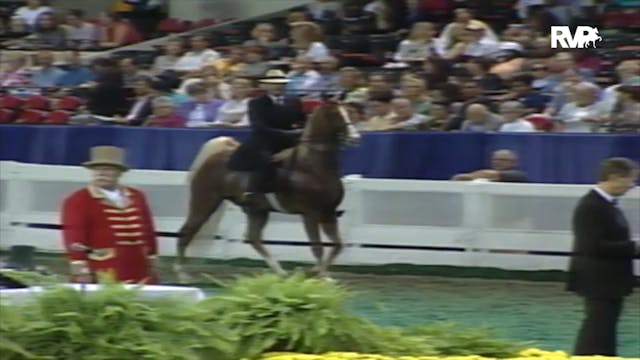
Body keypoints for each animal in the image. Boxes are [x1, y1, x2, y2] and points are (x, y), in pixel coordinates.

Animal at [174, 102, 360, 282]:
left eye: (350, 112)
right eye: (336, 115)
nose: (356, 138)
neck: (311, 167)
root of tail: (214, 157)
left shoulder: (328, 213)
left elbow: (338, 245)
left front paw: (320, 273)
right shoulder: (310, 214)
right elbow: (317, 247)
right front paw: (320, 275)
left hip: (258, 211)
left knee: (254, 238)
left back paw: (280, 272)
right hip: (204, 203)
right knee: (186, 232)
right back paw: (182, 274)